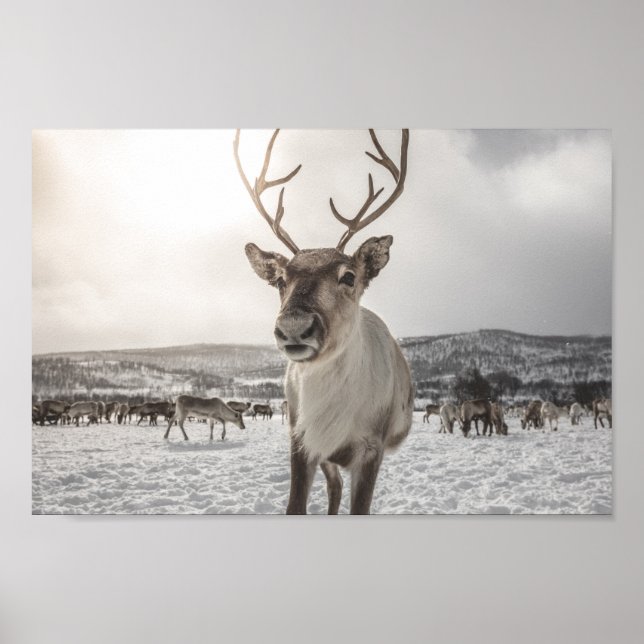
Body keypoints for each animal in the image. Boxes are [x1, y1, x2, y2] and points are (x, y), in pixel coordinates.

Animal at [235, 128, 413, 515]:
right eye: (280, 279)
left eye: (349, 276)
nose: (293, 326)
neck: (333, 416)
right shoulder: (302, 440)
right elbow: (295, 506)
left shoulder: (371, 448)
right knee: (334, 487)